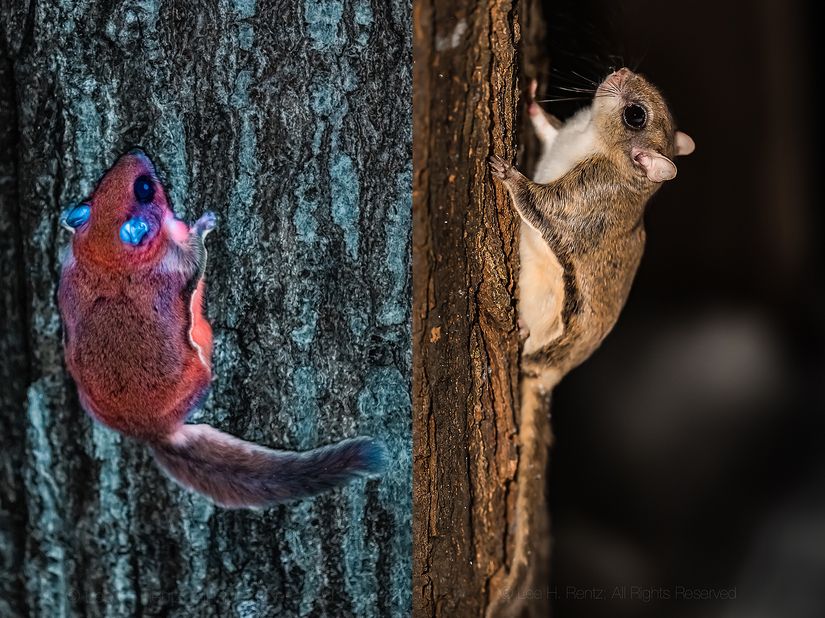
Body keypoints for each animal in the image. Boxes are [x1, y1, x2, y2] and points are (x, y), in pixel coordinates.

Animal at [58, 149, 386, 506]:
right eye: (144, 189)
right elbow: (198, 253)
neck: (107, 259)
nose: (137, 152)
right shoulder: (180, 263)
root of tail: (152, 433)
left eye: (103, 182)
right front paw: (204, 224)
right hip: (196, 378)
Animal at [486, 67, 692, 612]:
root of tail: (549, 375)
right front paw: (533, 103)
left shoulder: (582, 203)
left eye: (635, 115)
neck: (591, 140)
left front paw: (508, 175)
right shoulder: (563, 142)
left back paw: (519, 334)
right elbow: (547, 129)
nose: (621, 73)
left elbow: (537, 204)